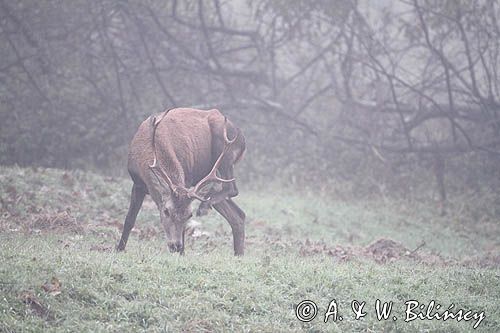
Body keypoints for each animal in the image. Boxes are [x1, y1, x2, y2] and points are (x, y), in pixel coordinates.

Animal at [117, 106, 250, 254]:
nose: (176, 246)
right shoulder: (137, 183)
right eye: (166, 211)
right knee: (238, 214)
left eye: (189, 215)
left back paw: (204, 207)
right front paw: (119, 249)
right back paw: (239, 254)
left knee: (232, 188)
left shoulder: (186, 177)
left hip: (224, 154)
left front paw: (182, 253)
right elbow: (129, 219)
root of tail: (243, 140)